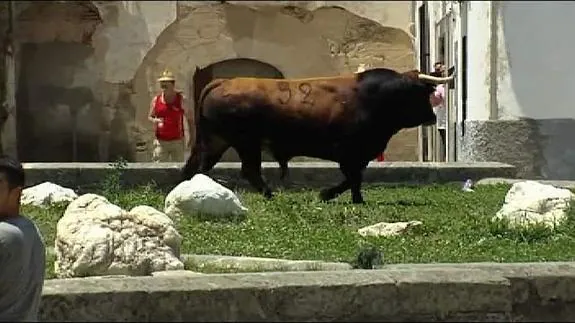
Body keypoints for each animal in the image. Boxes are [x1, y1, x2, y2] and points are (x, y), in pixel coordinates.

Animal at [183, 67, 454, 205]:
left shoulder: (359, 153)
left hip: (218, 140)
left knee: (200, 167)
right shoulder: (350, 151)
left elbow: (355, 178)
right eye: (420, 93)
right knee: (249, 170)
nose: (431, 116)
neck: (375, 98)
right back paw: (269, 194)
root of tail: (223, 82)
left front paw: (351, 198)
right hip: (245, 142)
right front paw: (334, 195)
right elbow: (352, 178)